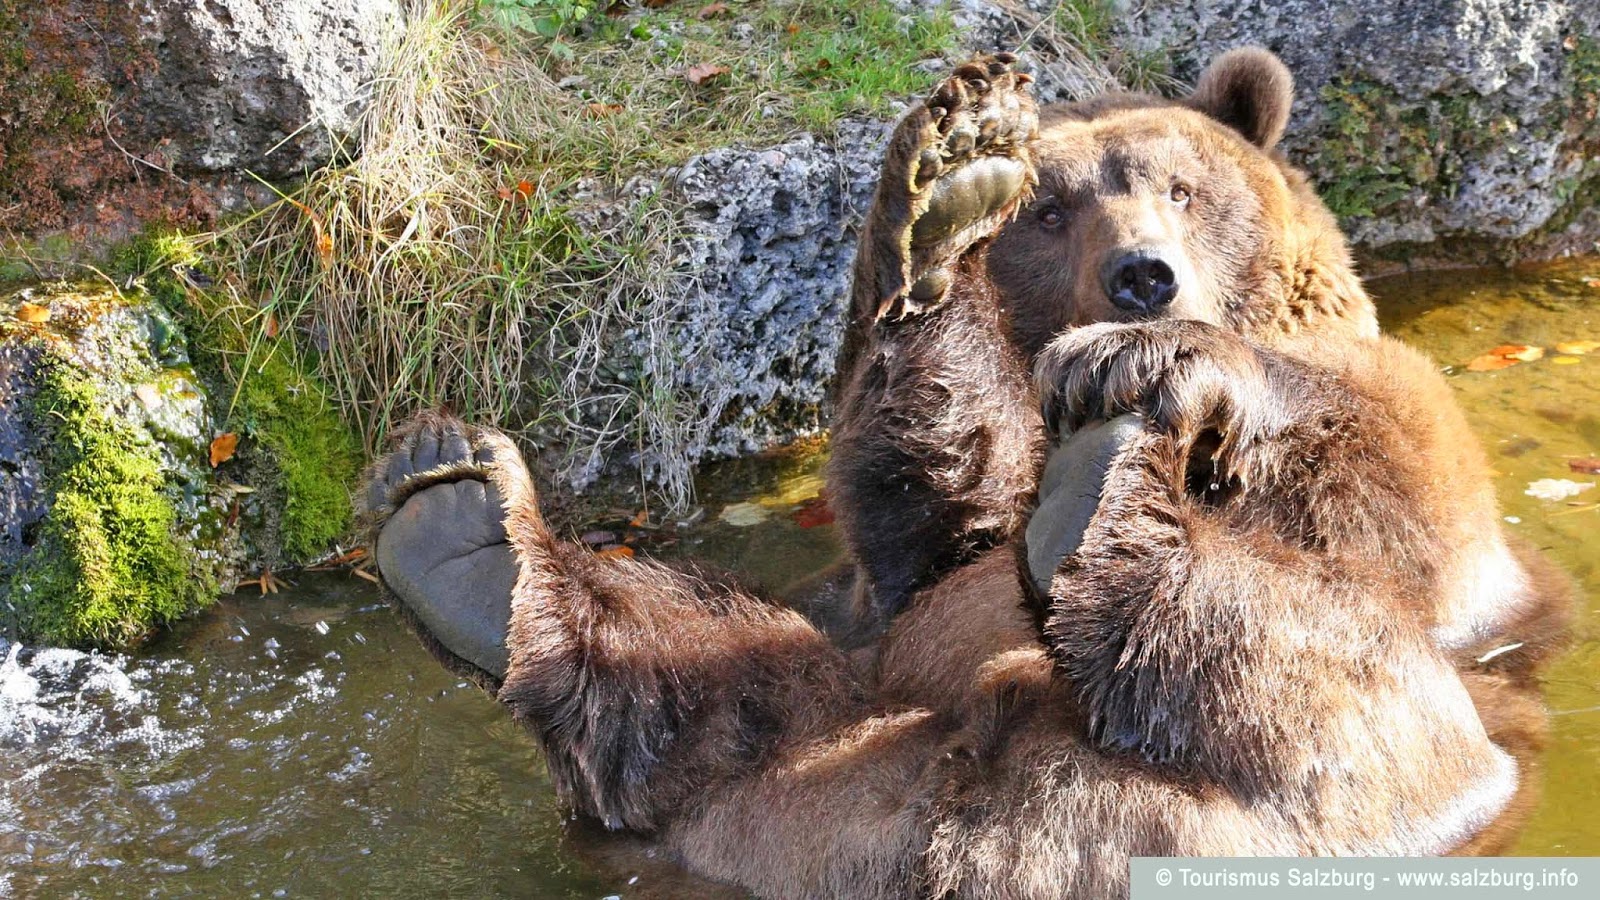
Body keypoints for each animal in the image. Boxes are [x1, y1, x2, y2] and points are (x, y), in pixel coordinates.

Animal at [356, 52, 1568, 890]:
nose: (1144, 277)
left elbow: (1386, 469)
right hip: (820, 750)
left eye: (1179, 188)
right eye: (1051, 207)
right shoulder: (916, 559)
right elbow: (942, 502)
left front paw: (1153, 362)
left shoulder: (1420, 499)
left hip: (1386, 788)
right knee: (717, 683)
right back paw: (455, 525)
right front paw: (949, 194)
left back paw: (1103, 497)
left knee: (1327, 680)